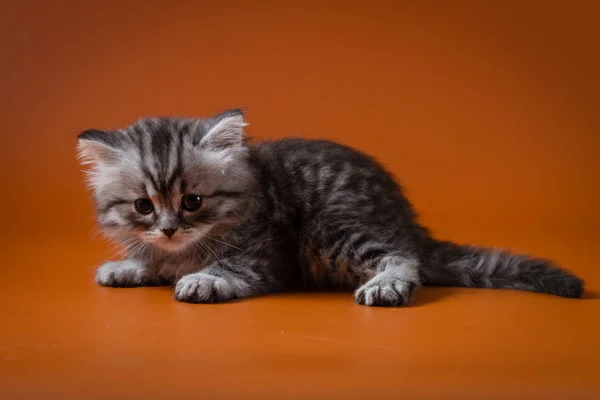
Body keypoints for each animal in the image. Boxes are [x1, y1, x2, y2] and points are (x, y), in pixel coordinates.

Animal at [76, 108, 584, 304]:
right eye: (144, 206)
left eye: (192, 202)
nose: (168, 228)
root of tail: (407, 220)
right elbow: (151, 261)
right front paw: (129, 266)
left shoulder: (265, 256)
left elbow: (226, 269)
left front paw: (200, 278)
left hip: (334, 228)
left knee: (404, 257)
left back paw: (387, 286)